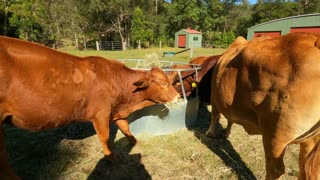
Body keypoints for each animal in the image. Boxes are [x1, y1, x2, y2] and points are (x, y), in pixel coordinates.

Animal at [0, 35, 180, 179]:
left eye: (169, 81)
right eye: (164, 83)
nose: (178, 96)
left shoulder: (115, 111)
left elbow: (125, 128)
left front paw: (134, 142)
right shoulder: (100, 114)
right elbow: (104, 137)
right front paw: (111, 158)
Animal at [209, 33, 320, 179]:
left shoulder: (214, 96)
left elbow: (215, 114)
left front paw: (211, 133)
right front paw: (227, 133)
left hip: (275, 132)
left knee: (275, 168)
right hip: (311, 139)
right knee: (305, 169)